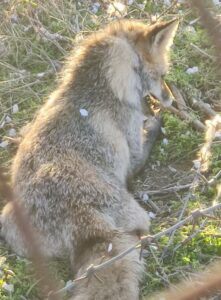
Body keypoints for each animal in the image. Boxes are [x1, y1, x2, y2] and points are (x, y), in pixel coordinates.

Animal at [0, 18, 179, 298]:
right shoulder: (132, 144)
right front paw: (155, 120)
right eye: (162, 75)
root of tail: (80, 215)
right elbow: (142, 149)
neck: (95, 86)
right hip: (133, 213)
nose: (171, 99)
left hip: (9, 220)